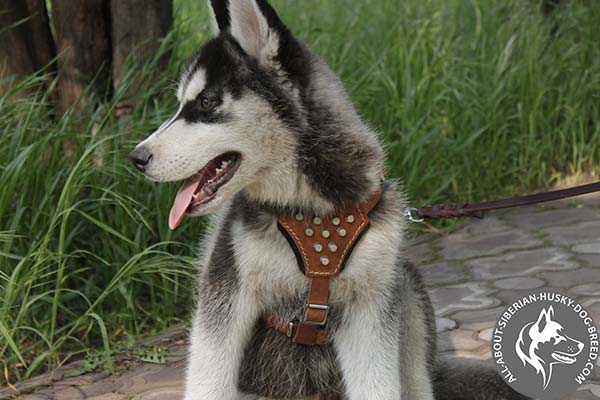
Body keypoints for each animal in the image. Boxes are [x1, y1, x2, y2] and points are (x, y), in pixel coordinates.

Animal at [132, 0, 528, 400]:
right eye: (181, 104)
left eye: (207, 101)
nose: (136, 158)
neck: (310, 209)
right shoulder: (226, 293)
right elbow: (209, 380)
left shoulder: (369, 310)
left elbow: (378, 386)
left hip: (406, 289)